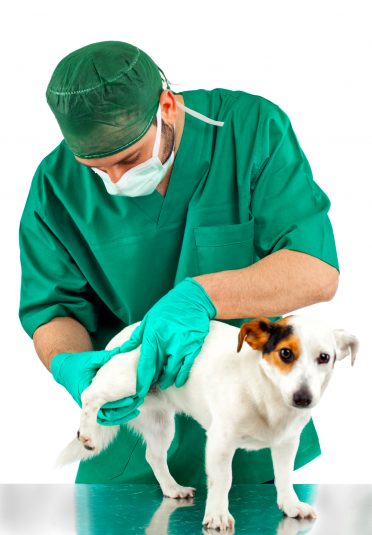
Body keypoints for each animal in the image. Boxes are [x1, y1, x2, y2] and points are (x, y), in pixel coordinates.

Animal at [53, 316, 358, 532]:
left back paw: (172, 488)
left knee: (153, 456)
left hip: (161, 424)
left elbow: (284, 477)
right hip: (126, 382)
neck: (266, 393)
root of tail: (124, 334)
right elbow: (223, 480)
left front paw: (291, 505)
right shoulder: (220, 443)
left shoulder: (287, 444)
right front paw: (218, 515)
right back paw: (88, 433)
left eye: (324, 358)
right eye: (285, 354)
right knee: (89, 395)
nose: (303, 398)